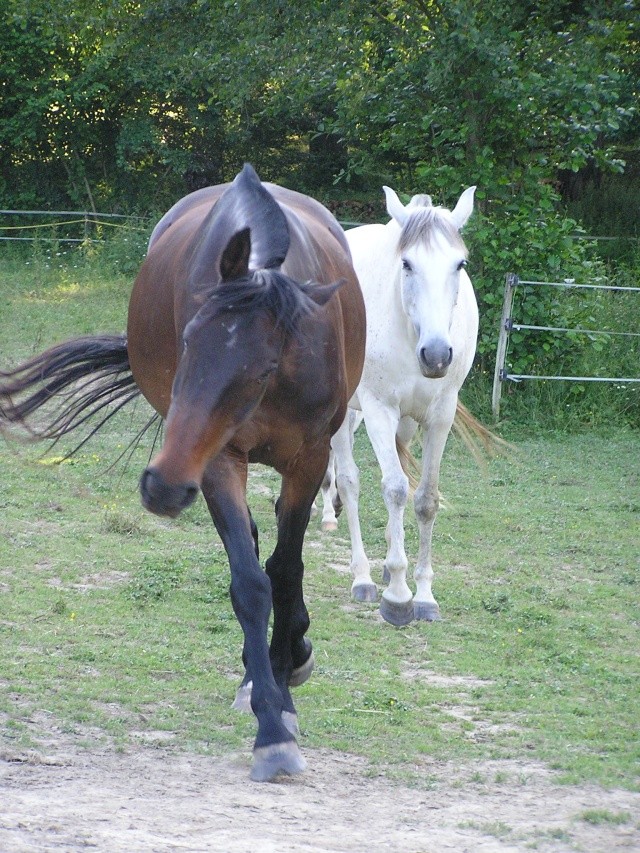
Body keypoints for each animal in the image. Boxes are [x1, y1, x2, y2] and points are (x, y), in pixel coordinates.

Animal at [0, 163, 364, 784]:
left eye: (264, 366)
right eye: (187, 340)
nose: (163, 487)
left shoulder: (309, 458)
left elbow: (286, 570)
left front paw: (285, 686)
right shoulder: (216, 460)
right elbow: (251, 583)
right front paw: (270, 725)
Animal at [324, 186, 480, 624]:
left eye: (460, 264)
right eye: (407, 263)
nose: (437, 355)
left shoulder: (440, 417)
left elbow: (425, 498)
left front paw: (424, 595)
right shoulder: (379, 410)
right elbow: (393, 489)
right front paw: (396, 594)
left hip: (405, 423)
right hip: (347, 411)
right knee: (349, 480)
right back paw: (362, 576)